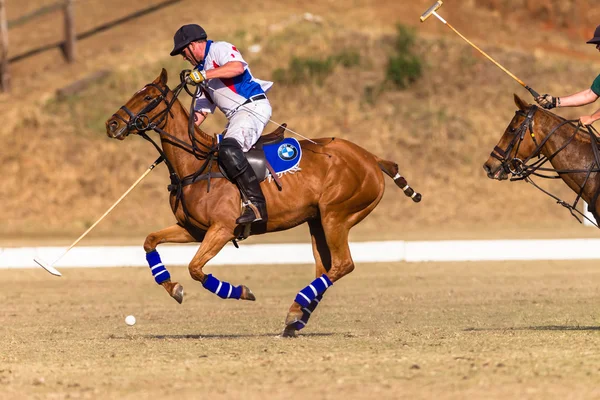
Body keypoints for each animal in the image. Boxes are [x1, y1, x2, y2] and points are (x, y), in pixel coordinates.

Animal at [104, 69, 422, 338]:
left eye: (148, 97)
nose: (112, 124)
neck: (195, 164)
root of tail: (372, 158)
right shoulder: (192, 229)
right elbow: (150, 241)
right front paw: (173, 288)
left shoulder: (222, 229)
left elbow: (195, 268)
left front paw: (240, 291)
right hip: (318, 221)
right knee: (325, 268)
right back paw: (297, 319)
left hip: (337, 214)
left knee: (343, 264)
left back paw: (295, 310)